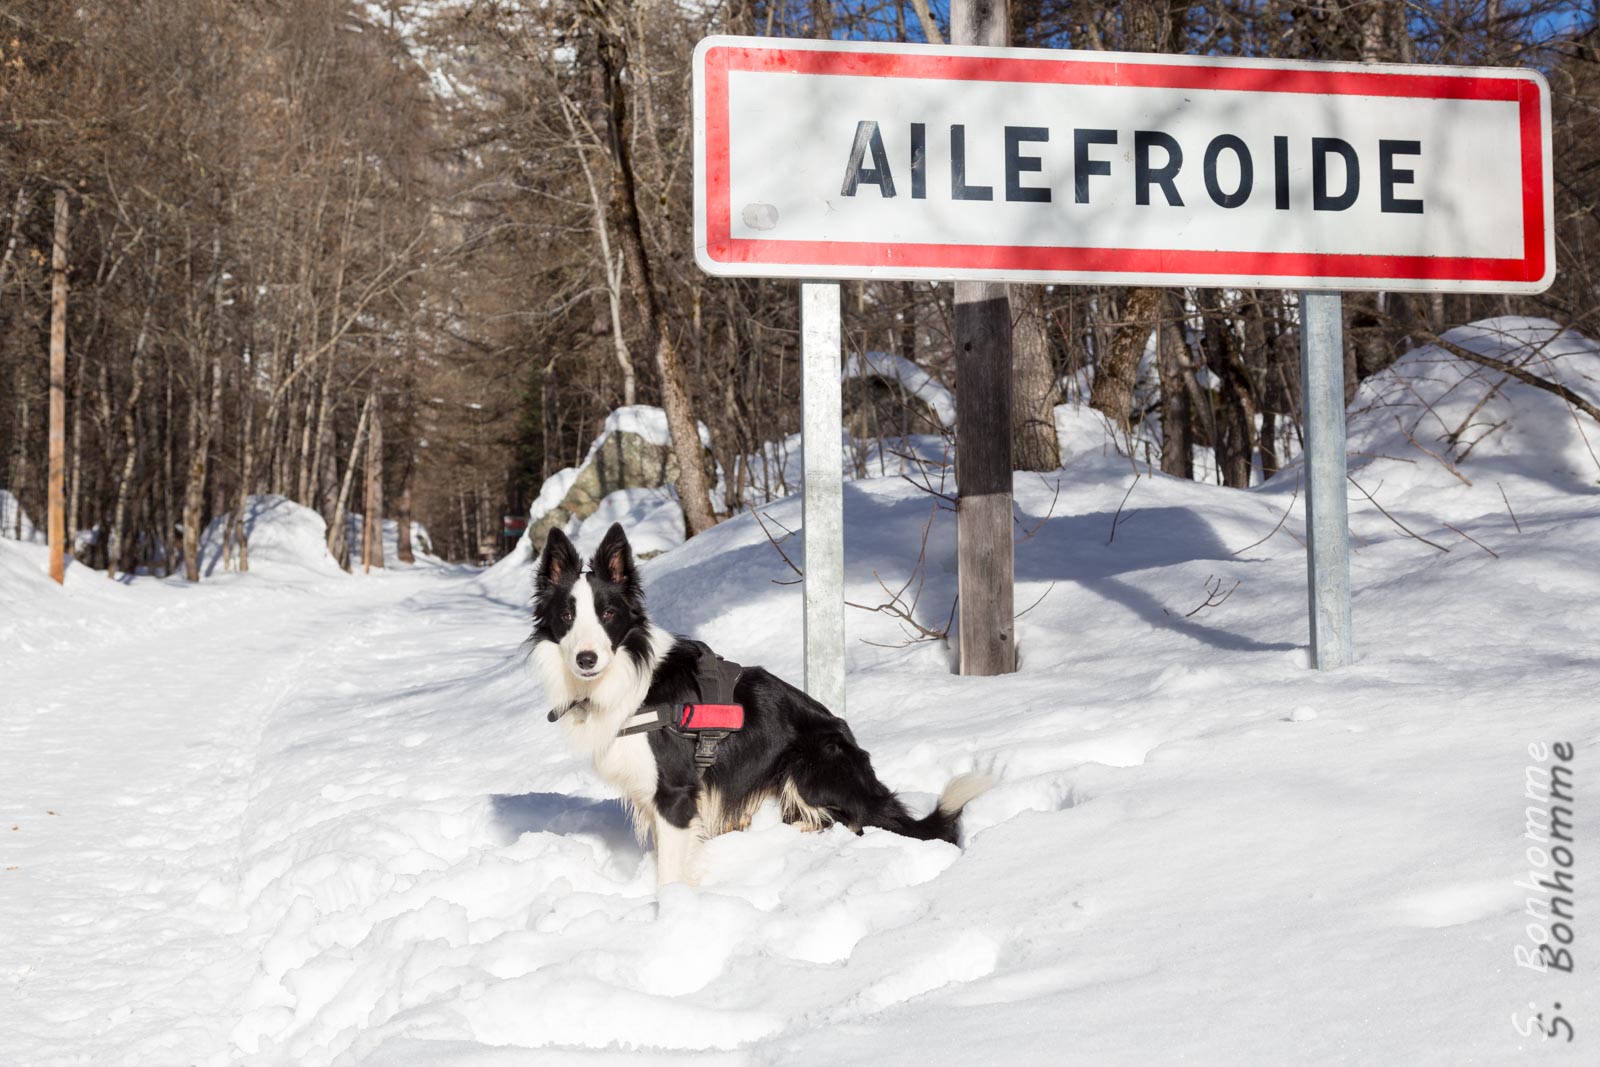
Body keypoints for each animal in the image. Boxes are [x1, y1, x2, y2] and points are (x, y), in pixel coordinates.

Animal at [531, 524, 992, 883]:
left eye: (608, 614)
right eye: (567, 617)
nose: (586, 659)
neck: (628, 674)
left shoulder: (676, 791)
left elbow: (672, 871)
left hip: (810, 764)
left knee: (858, 822)